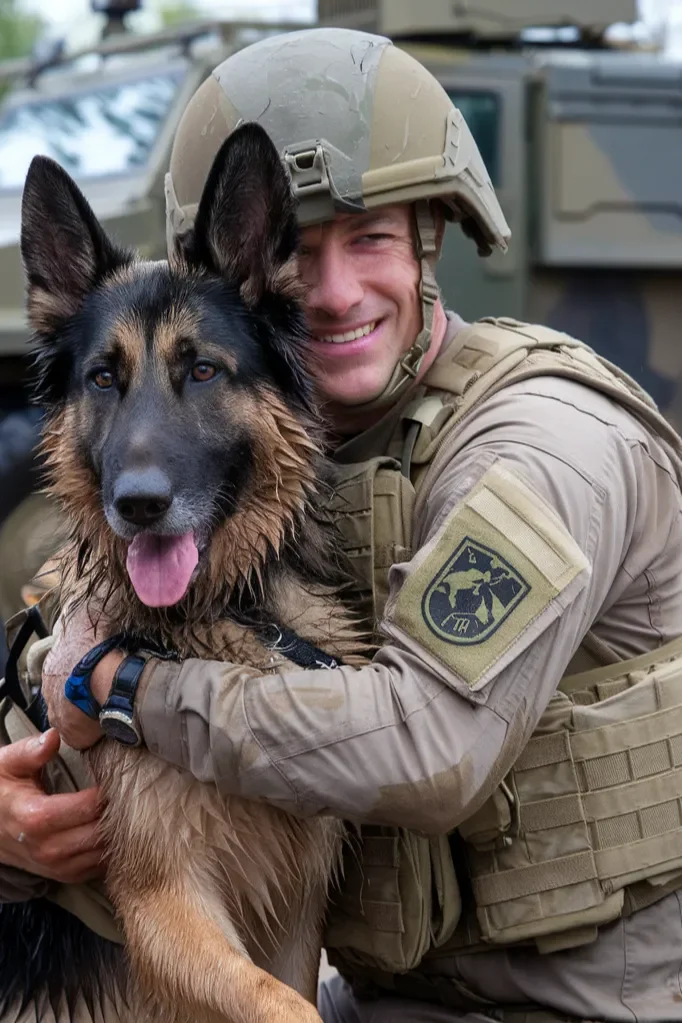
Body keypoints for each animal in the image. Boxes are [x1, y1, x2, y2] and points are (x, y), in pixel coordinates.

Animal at [3, 125, 368, 1023]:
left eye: (202, 370)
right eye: (104, 377)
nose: (138, 504)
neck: (218, 623)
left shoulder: (289, 913)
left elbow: (292, 995)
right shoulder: (166, 907)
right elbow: (288, 1007)